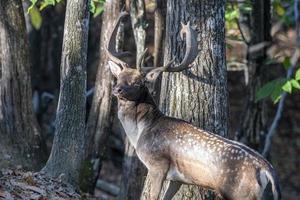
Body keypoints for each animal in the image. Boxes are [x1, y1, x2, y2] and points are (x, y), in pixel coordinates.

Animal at [107, 12, 282, 200]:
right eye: (119, 78)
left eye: (138, 83)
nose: (117, 89)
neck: (140, 132)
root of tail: (266, 169)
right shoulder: (178, 178)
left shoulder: (157, 164)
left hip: (240, 192)